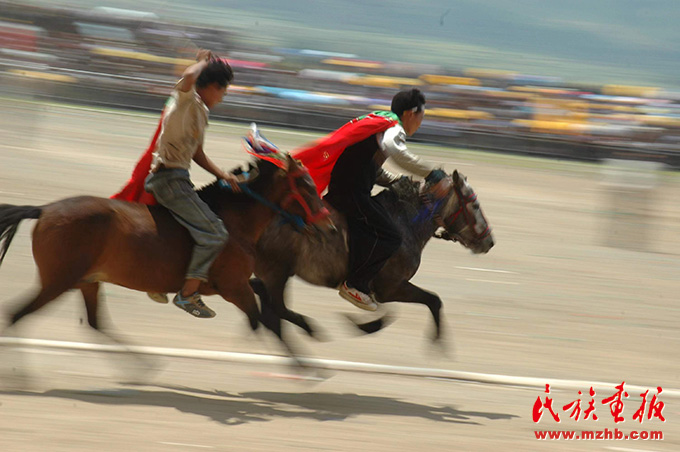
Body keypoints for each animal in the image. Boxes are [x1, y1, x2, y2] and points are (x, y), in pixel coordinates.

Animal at [0, 155, 330, 350]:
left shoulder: (228, 284)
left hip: (86, 281)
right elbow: (262, 319)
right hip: (60, 281)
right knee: (17, 315)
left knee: (94, 323)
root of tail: (44, 210)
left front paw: (306, 329)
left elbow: (267, 305)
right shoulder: (233, 287)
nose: (327, 224)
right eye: (305, 184)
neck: (234, 221)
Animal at [251, 171, 494, 340]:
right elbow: (432, 300)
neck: (405, 222)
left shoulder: (382, 288)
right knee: (277, 307)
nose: (489, 242)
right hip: (278, 271)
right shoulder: (391, 287)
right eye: (474, 204)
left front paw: (363, 324)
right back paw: (309, 331)